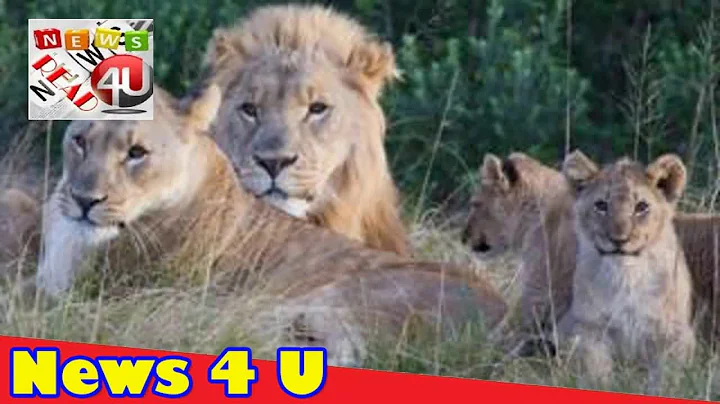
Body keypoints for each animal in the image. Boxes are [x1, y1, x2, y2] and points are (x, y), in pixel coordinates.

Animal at [558, 150, 695, 391]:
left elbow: (665, 376)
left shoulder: (672, 333)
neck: (626, 276)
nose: (619, 239)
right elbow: (596, 372)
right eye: (601, 205)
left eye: (641, 207)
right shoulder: (589, 329)